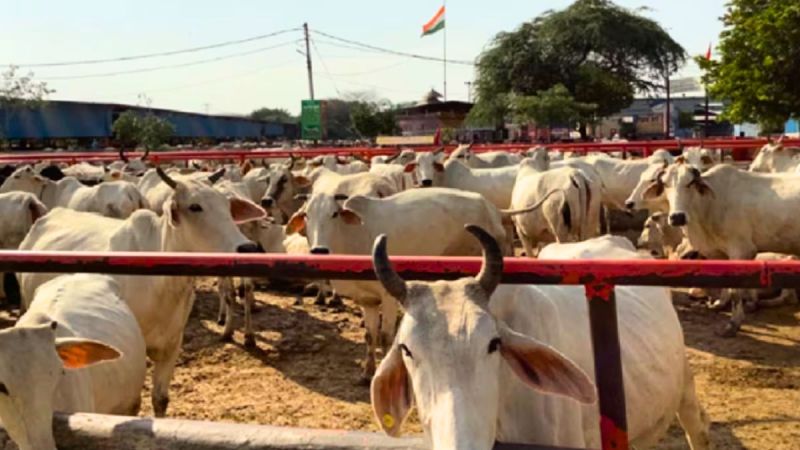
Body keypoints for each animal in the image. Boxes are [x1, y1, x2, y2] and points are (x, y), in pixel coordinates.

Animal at [15, 168, 265, 416]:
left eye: (226, 204)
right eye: (195, 206)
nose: (247, 248)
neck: (163, 286)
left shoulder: (171, 345)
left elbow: (160, 399)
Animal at [287, 186, 507, 380]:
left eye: (334, 214)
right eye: (306, 215)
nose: (319, 250)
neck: (350, 236)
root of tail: (489, 208)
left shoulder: (388, 297)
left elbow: (386, 336)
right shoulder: (367, 300)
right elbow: (370, 335)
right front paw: (367, 372)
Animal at [663, 163, 800, 335]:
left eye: (691, 183)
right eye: (664, 184)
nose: (677, 217)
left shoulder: (742, 250)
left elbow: (736, 291)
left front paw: (733, 324)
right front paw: (719, 304)